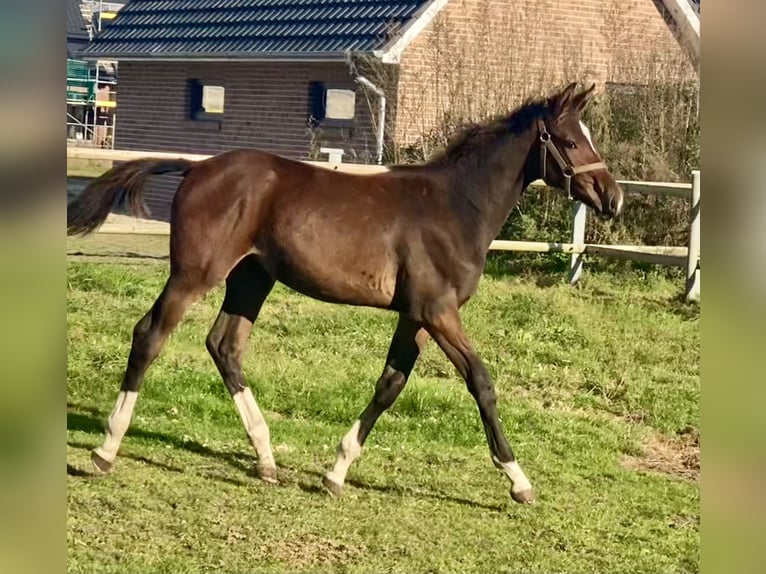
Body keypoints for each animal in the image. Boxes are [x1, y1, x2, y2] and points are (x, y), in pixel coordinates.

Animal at [69, 83, 624, 506]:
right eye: (570, 141)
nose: (612, 198)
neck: (455, 207)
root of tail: (196, 167)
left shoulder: (415, 317)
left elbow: (390, 384)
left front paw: (335, 472)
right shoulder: (438, 311)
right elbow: (481, 382)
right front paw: (519, 481)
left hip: (251, 279)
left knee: (224, 346)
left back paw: (266, 459)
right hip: (195, 273)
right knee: (150, 334)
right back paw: (106, 449)